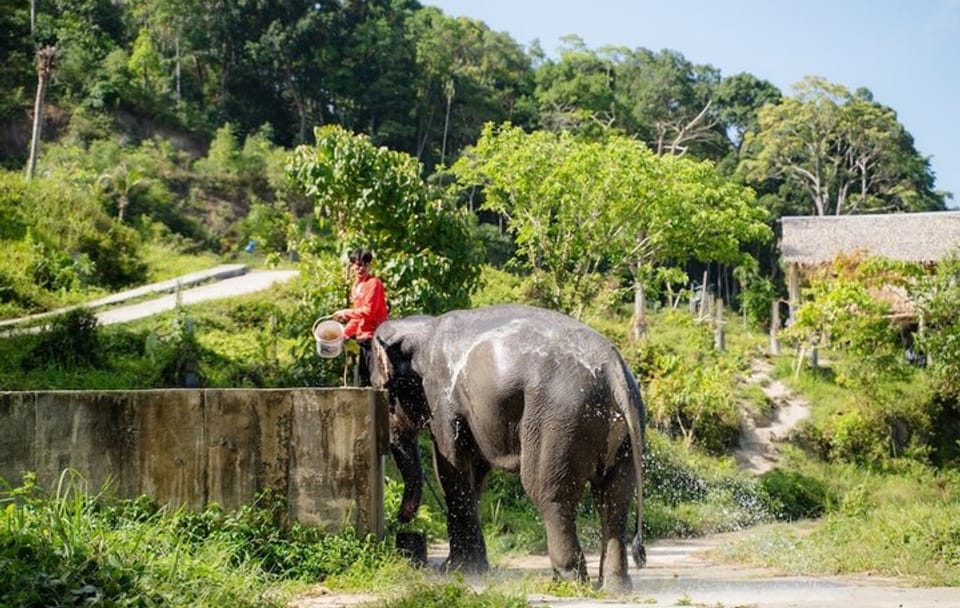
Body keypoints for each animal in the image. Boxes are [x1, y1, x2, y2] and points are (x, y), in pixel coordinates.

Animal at [371, 303, 646, 591]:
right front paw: (468, 569)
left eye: (383, 391)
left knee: (550, 494)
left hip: (560, 421)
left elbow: (451, 468)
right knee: (615, 498)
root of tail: (614, 370)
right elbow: (474, 472)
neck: (421, 327)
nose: (403, 519)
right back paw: (614, 587)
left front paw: (456, 570)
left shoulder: (441, 396)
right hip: (622, 433)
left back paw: (566, 581)